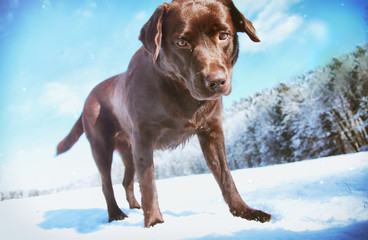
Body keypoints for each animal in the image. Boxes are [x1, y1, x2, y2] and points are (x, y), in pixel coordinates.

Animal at [56, 0, 270, 227]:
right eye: (181, 42)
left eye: (224, 35)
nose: (217, 81)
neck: (181, 91)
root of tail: (87, 99)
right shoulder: (143, 139)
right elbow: (149, 184)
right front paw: (154, 223)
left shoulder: (211, 131)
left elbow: (226, 177)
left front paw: (245, 211)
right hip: (101, 147)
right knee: (107, 184)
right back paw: (115, 214)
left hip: (128, 152)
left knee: (126, 181)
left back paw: (134, 206)